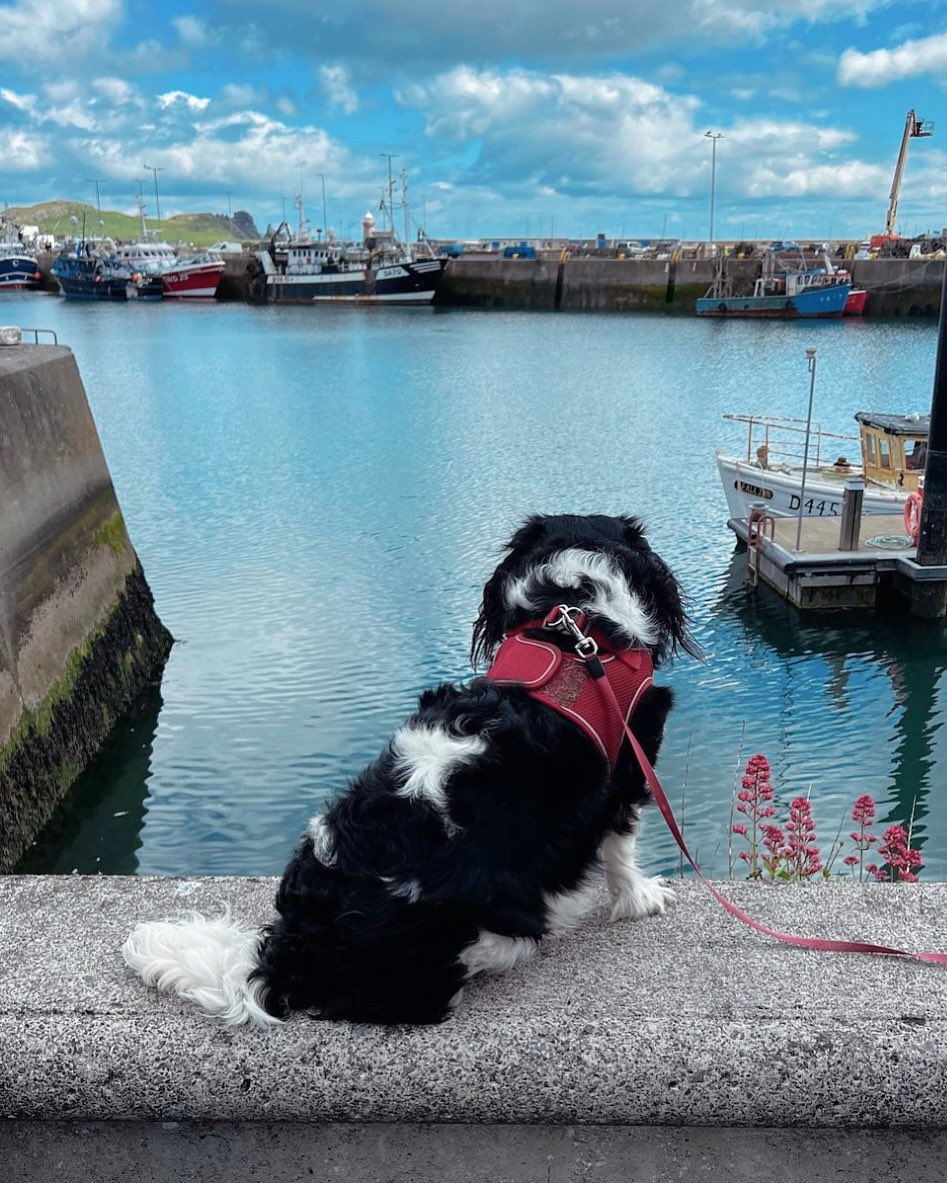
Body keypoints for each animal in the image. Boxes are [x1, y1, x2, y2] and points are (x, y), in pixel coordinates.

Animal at [121, 515, 690, 1026]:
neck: (573, 618)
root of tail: (297, 950)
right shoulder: (628, 769)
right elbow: (621, 849)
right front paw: (641, 898)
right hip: (486, 927)